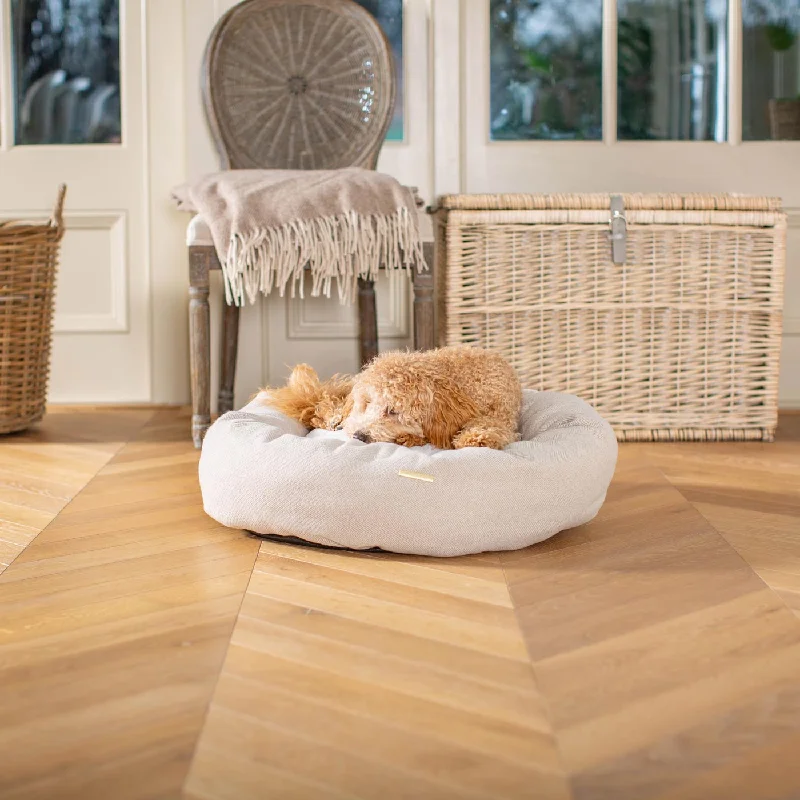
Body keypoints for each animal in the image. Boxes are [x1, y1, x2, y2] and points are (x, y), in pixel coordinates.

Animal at [260, 346, 524, 450]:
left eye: (393, 411)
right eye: (367, 404)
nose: (359, 436)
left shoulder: (501, 412)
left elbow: (492, 426)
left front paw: (477, 437)